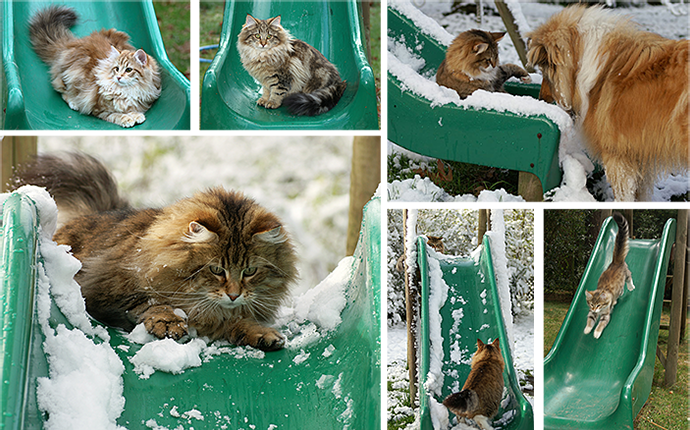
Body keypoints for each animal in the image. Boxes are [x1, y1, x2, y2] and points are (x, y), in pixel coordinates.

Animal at [10, 153, 296, 352]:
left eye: (250, 271)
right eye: (216, 270)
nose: (234, 295)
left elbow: (237, 321)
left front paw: (260, 333)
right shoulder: (106, 294)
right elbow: (152, 302)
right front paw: (169, 322)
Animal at [28, 5, 161, 127]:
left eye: (128, 70)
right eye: (116, 69)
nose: (118, 77)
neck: (127, 91)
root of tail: (71, 43)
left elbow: (132, 109)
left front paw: (136, 115)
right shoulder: (100, 110)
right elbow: (116, 114)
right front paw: (127, 119)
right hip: (71, 77)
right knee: (62, 91)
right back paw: (74, 103)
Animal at [584, 212, 632, 340]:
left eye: (599, 305)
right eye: (592, 304)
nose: (595, 309)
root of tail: (616, 262)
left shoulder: (605, 315)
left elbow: (601, 324)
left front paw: (596, 332)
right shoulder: (591, 312)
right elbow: (589, 320)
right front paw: (587, 329)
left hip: (626, 274)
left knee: (629, 278)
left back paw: (631, 287)